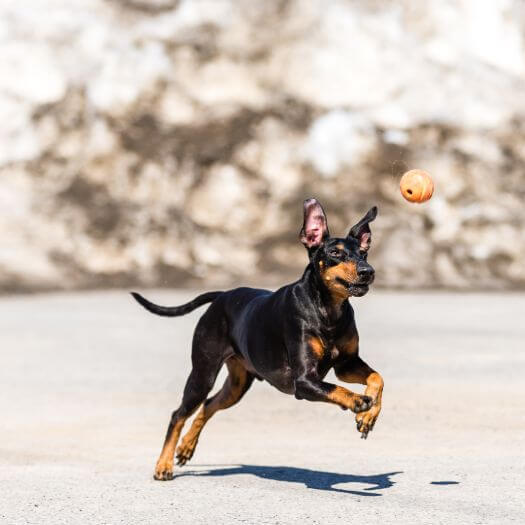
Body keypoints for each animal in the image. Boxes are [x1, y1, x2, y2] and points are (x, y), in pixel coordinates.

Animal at [133, 199, 382, 482]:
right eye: (336, 253)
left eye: (363, 253)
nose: (368, 271)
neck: (328, 310)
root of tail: (222, 296)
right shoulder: (304, 382)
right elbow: (337, 389)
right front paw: (359, 402)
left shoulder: (346, 365)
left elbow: (377, 379)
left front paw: (369, 416)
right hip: (203, 374)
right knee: (179, 414)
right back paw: (163, 465)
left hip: (237, 385)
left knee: (208, 406)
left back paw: (186, 448)